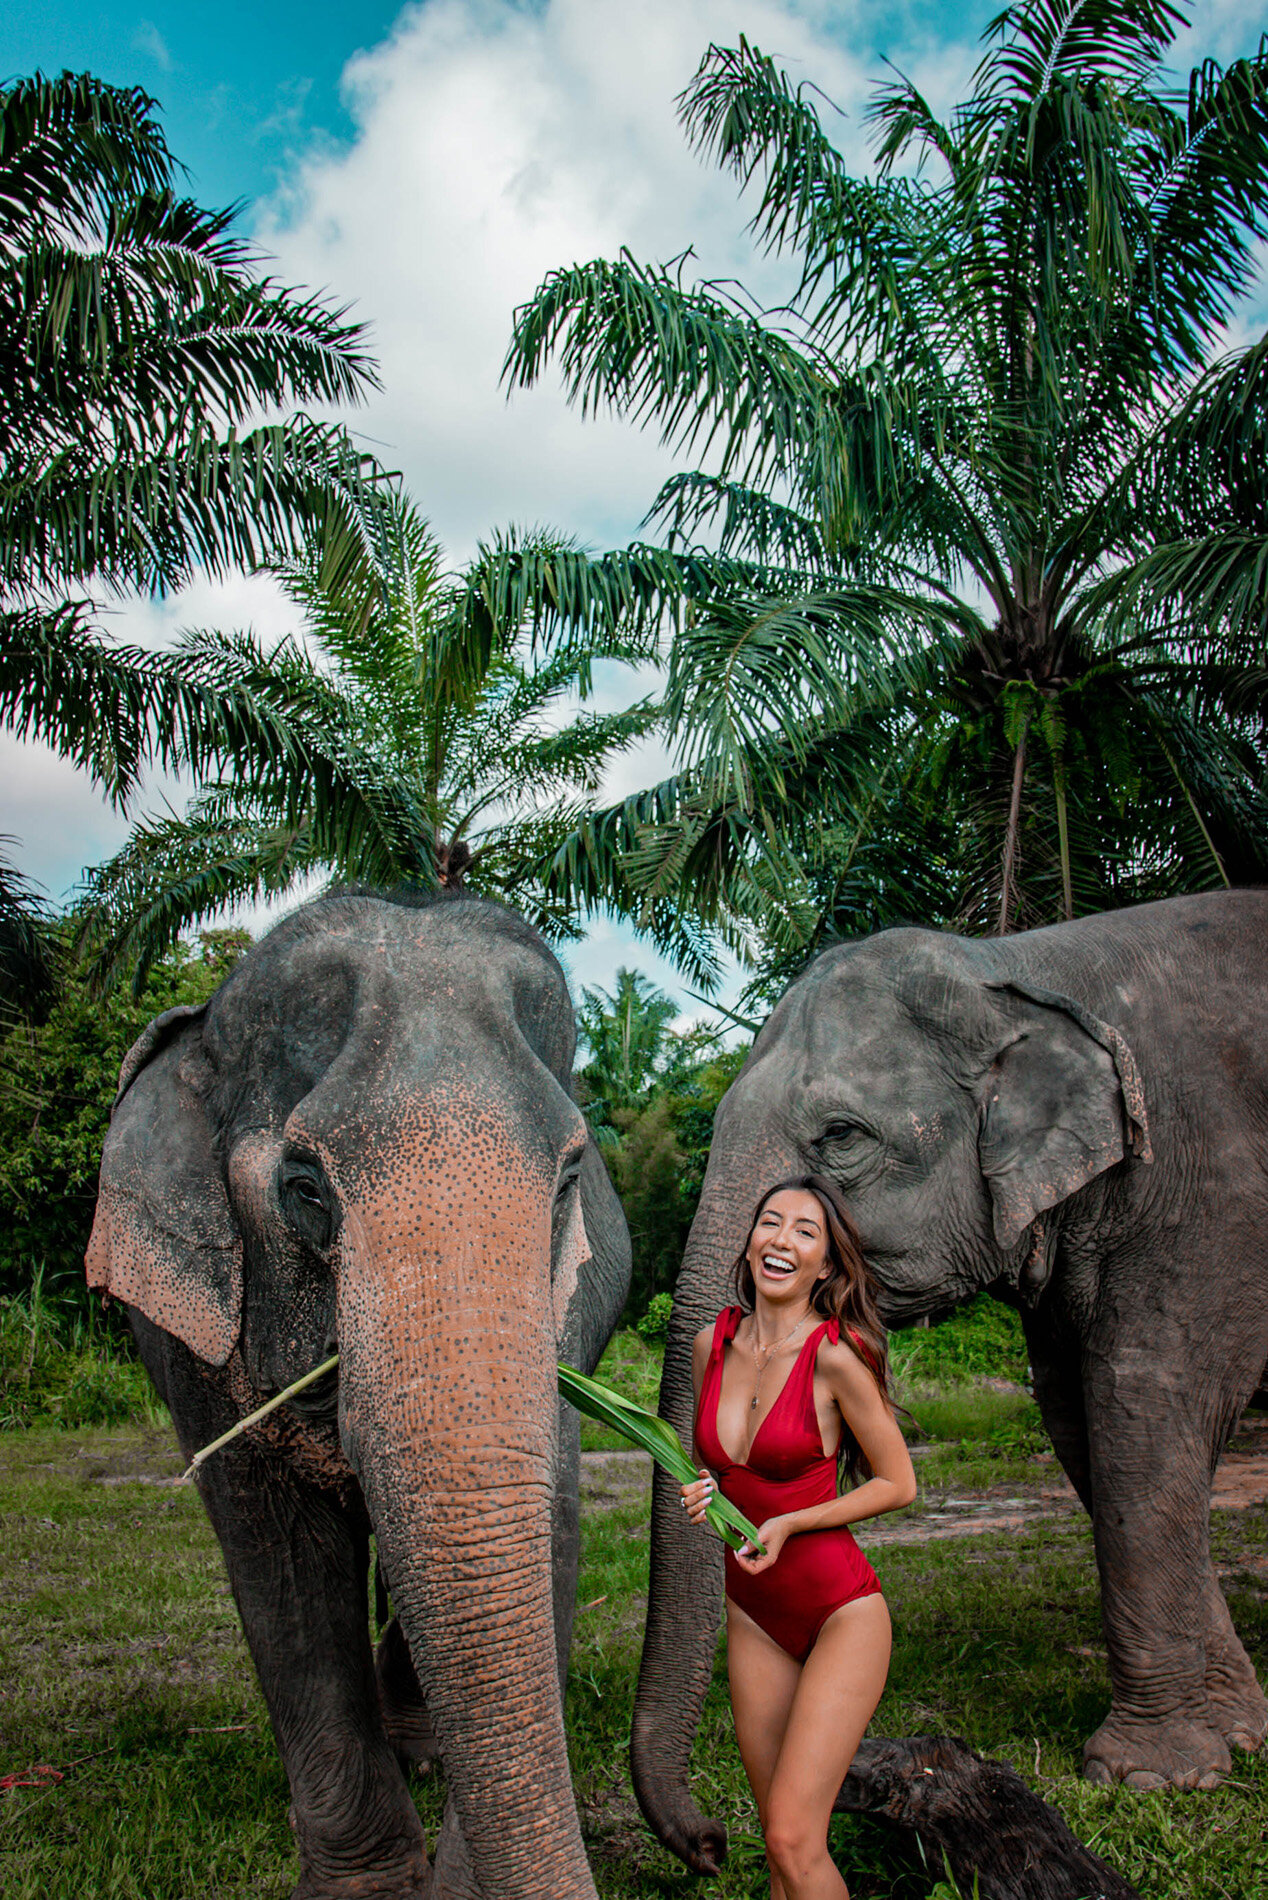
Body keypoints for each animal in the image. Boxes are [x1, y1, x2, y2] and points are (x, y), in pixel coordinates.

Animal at [84, 889, 631, 1900]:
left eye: (569, 1180)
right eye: (304, 1188)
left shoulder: (564, 1321)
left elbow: (550, 1529)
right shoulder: (191, 1344)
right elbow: (281, 1566)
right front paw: (369, 1886)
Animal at [634, 893, 1268, 1869]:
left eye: (841, 1136)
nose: (709, 1844)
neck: (1018, 966)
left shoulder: (1203, 1188)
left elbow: (1141, 1403)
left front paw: (1154, 1776)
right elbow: (1080, 1421)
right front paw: (1237, 1737)